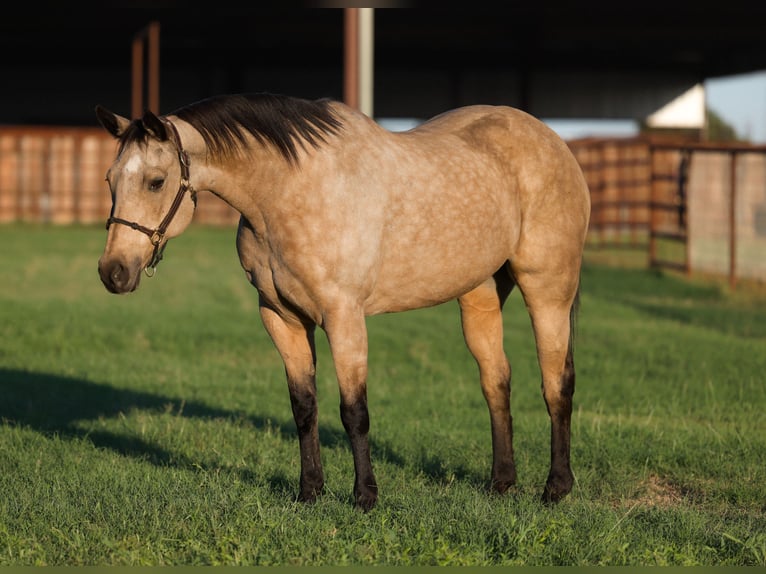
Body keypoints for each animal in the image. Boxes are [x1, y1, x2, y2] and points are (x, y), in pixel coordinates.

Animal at [95, 93, 590, 511]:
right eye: (110, 180)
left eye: (156, 182)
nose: (113, 272)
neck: (289, 190)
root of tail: (554, 143)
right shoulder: (282, 318)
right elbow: (304, 407)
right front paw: (309, 491)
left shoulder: (343, 316)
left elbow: (354, 412)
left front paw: (365, 497)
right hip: (480, 295)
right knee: (496, 381)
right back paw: (501, 483)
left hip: (548, 289)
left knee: (557, 383)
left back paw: (556, 488)